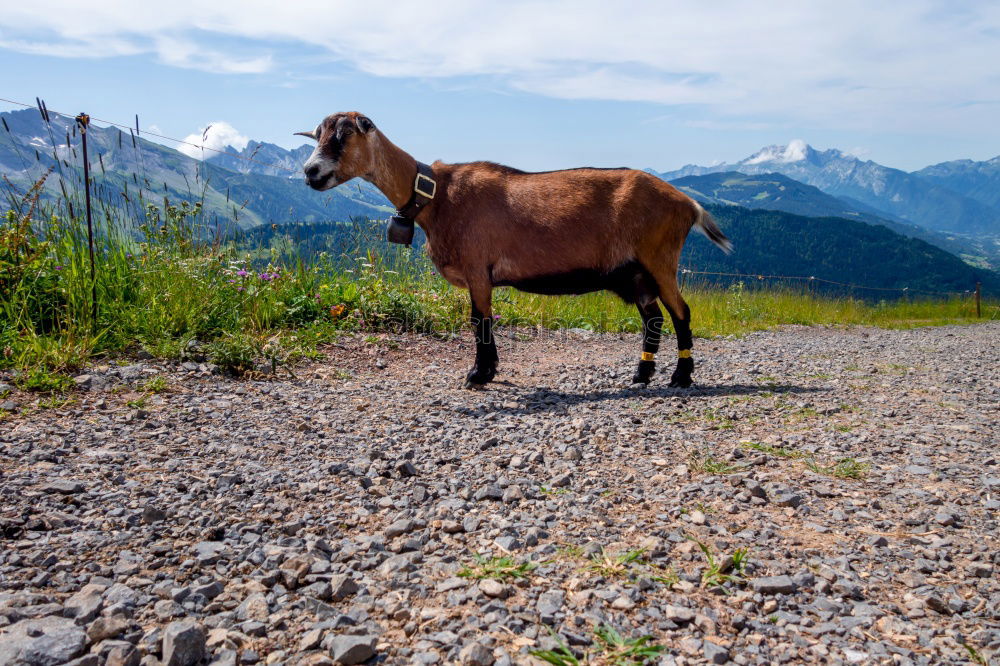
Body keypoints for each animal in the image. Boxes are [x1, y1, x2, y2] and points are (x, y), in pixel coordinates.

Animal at [292, 111, 732, 386]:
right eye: (318, 136)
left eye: (343, 135)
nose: (310, 172)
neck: (437, 195)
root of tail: (688, 204)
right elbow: (483, 320)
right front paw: (487, 371)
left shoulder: (477, 268)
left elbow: (479, 320)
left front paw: (478, 375)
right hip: (635, 273)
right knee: (653, 318)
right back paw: (641, 375)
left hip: (660, 259)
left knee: (680, 312)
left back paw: (680, 378)